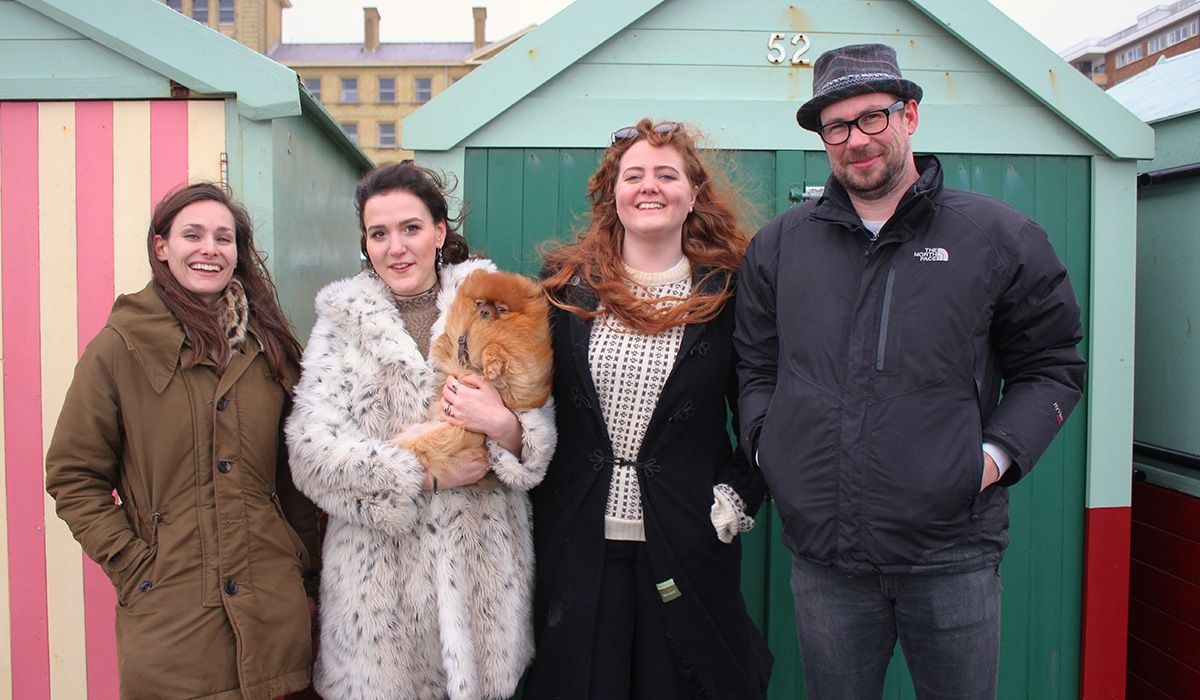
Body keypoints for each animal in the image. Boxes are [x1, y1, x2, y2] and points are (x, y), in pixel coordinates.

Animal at [400, 271, 554, 489]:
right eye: (480, 303)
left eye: (501, 309)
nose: (484, 312)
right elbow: (448, 340)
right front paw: (440, 343)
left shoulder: (522, 375)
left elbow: (496, 347)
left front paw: (492, 365)